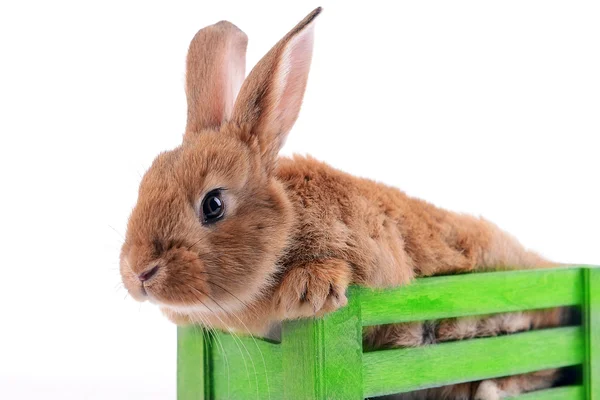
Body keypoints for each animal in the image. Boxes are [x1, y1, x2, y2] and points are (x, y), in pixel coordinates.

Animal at [118, 7, 572, 400]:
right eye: (144, 185)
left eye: (212, 204)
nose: (139, 273)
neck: (287, 228)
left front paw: (308, 291)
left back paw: (491, 388)